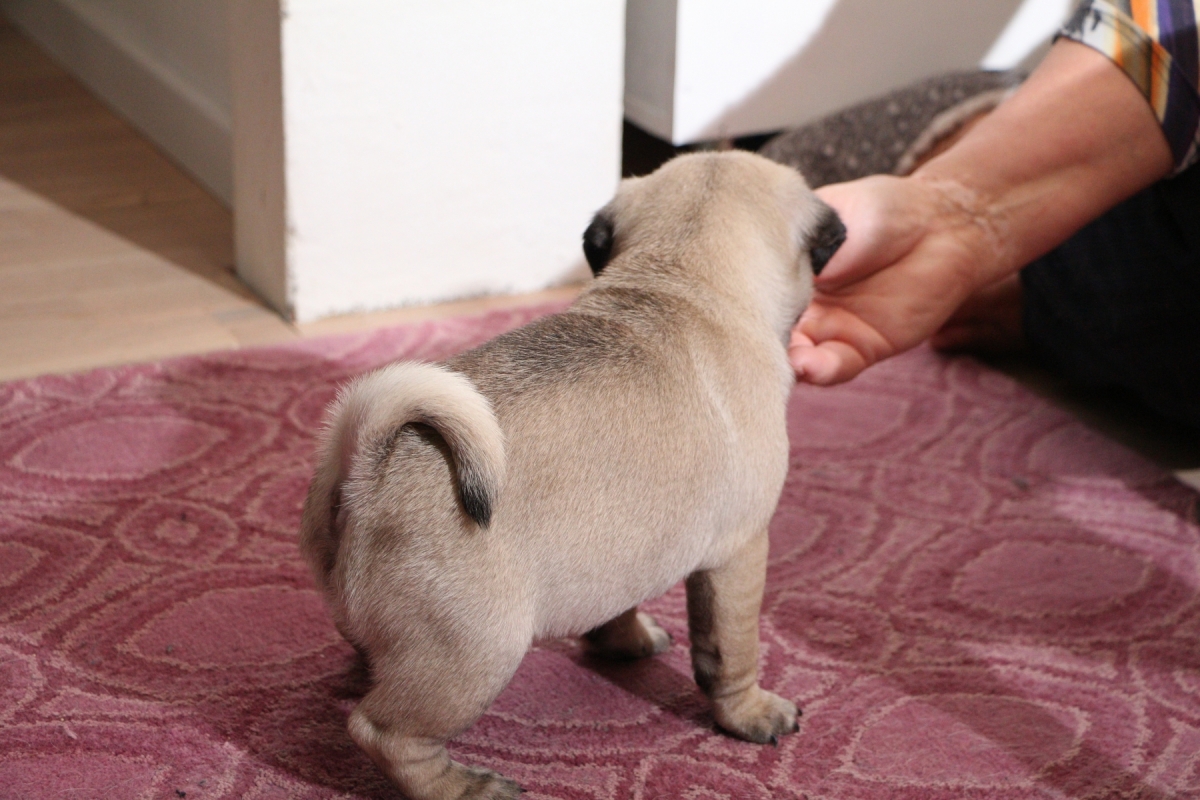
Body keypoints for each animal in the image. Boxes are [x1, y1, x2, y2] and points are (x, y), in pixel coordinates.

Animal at [299, 150, 846, 800]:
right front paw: (750, 713)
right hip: (477, 649)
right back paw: (464, 786)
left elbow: (618, 604)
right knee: (384, 732)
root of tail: (368, 469)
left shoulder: (622, 548)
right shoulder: (739, 553)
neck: (679, 276)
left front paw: (626, 640)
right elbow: (731, 649)